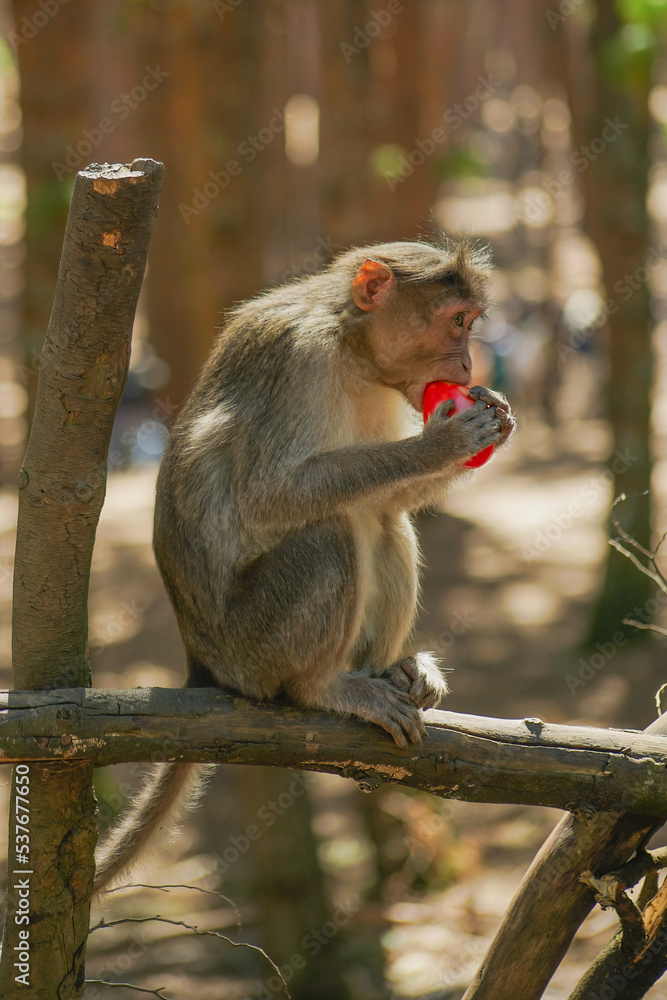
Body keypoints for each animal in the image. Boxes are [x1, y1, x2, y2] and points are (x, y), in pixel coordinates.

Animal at [93, 233, 515, 893]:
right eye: (456, 322)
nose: (472, 367)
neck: (350, 348)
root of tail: (201, 661)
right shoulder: (298, 357)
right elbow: (269, 497)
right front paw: (441, 444)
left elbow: (387, 501)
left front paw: (496, 417)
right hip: (253, 647)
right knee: (330, 533)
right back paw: (323, 688)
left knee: (380, 519)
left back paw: (391, 668)